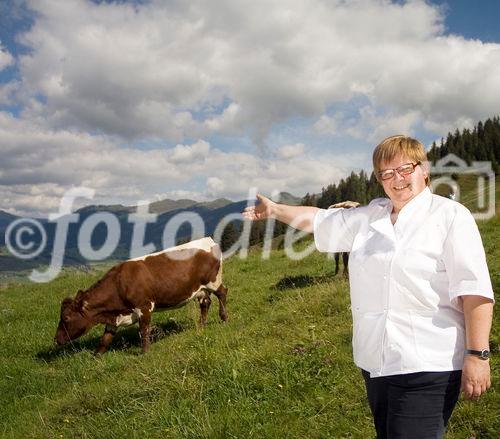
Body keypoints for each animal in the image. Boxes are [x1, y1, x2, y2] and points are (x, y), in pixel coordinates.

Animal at [55, 237, 229, 354]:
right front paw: (95, 356)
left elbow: (143, 331)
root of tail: (207, 239)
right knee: (205, 303)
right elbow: (105, 339)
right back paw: (201, 325)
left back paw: (224, 318)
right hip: (201, 289)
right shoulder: (114, 318)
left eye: (66, 318)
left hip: (213, 281)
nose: (56, 339)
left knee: (222, 293)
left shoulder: (144, 307)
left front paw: (145, 353)